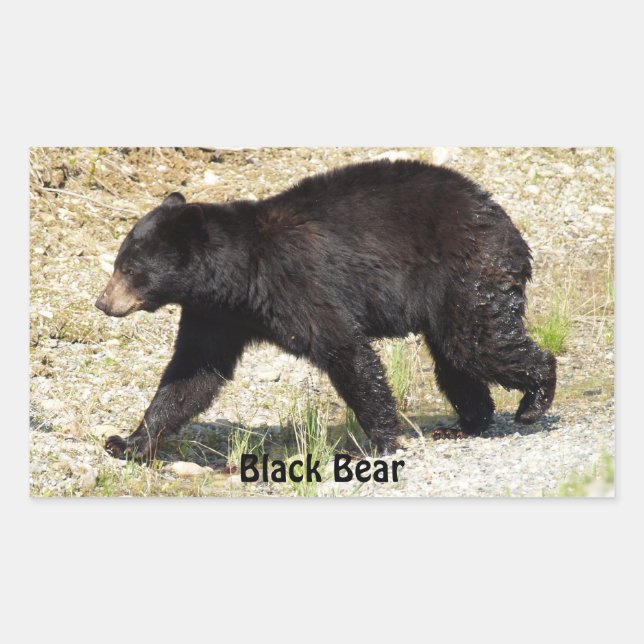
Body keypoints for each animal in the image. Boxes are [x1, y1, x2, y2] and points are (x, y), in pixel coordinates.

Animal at [95, 159, 556, 460]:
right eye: (119, 262)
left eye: (130, 268)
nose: (103, 301)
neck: (239, 278)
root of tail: (506, 224)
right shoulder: (215, 316)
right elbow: (191, 374)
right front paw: (128, 442)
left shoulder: (297, 286)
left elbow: (345, 349)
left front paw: (382, 441)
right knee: (454, 359)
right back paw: (464, 424)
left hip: (465, 274)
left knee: (479, 344)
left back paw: (533, 401)